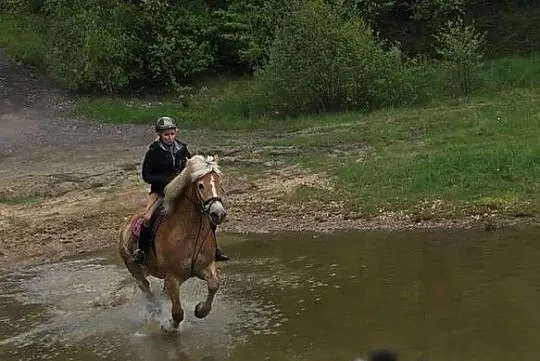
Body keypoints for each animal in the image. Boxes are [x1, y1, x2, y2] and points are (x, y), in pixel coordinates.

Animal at [119, 154, 227, 330]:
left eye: (219, 182)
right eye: (200, 185)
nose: (218, 213)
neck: (189, 233)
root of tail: (124, 227)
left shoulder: (206, 266)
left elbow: (213, 285)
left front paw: (200, 310)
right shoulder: (172, 278)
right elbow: (177, 313)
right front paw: (169, 326)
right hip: (136, 271)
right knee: (147, 290)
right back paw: (155, 312)